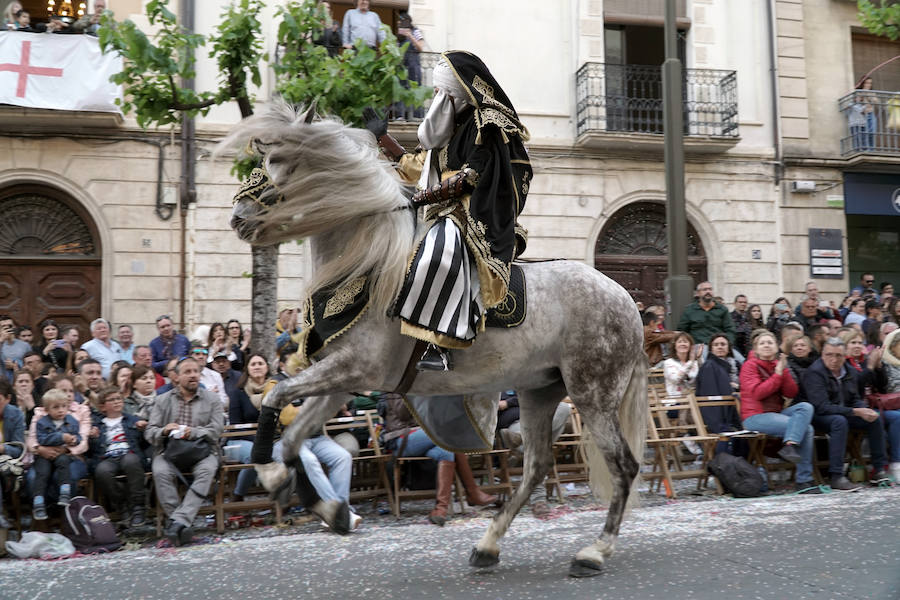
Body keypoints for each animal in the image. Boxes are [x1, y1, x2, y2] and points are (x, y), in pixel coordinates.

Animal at [223, 103, 648, 576]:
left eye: (277, 161)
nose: (238, 218)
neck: (369, 264)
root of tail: (626, 299)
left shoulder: (351, 368)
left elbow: (275, 396)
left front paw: (273, 476)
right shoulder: (343, 380)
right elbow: (295, 435)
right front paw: (327, 508)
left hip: (593, 392)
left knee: (623, 466)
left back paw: (593, 551)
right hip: (540, 390)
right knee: (538, 466)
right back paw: (488, 545)